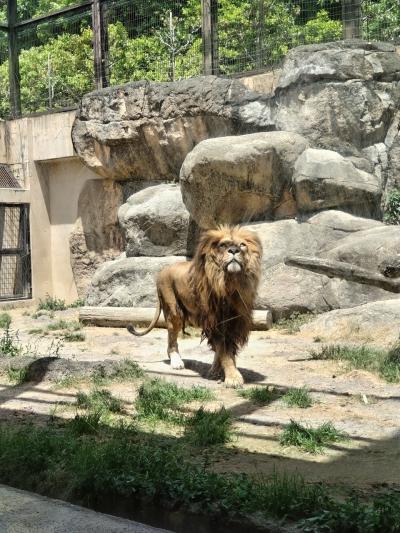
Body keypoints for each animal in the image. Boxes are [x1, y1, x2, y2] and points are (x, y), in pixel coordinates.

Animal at [128, 224, 264, 386]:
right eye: (223, 245)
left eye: (242, 245)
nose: (234, 250)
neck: (230, 283)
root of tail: (162, 271)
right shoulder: (215, 320)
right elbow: (225, 352)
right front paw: (233, 377)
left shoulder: (234, 321)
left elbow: (224, 351)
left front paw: (215, 372)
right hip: (174, 311)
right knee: (171, 340)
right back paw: (176, 362)